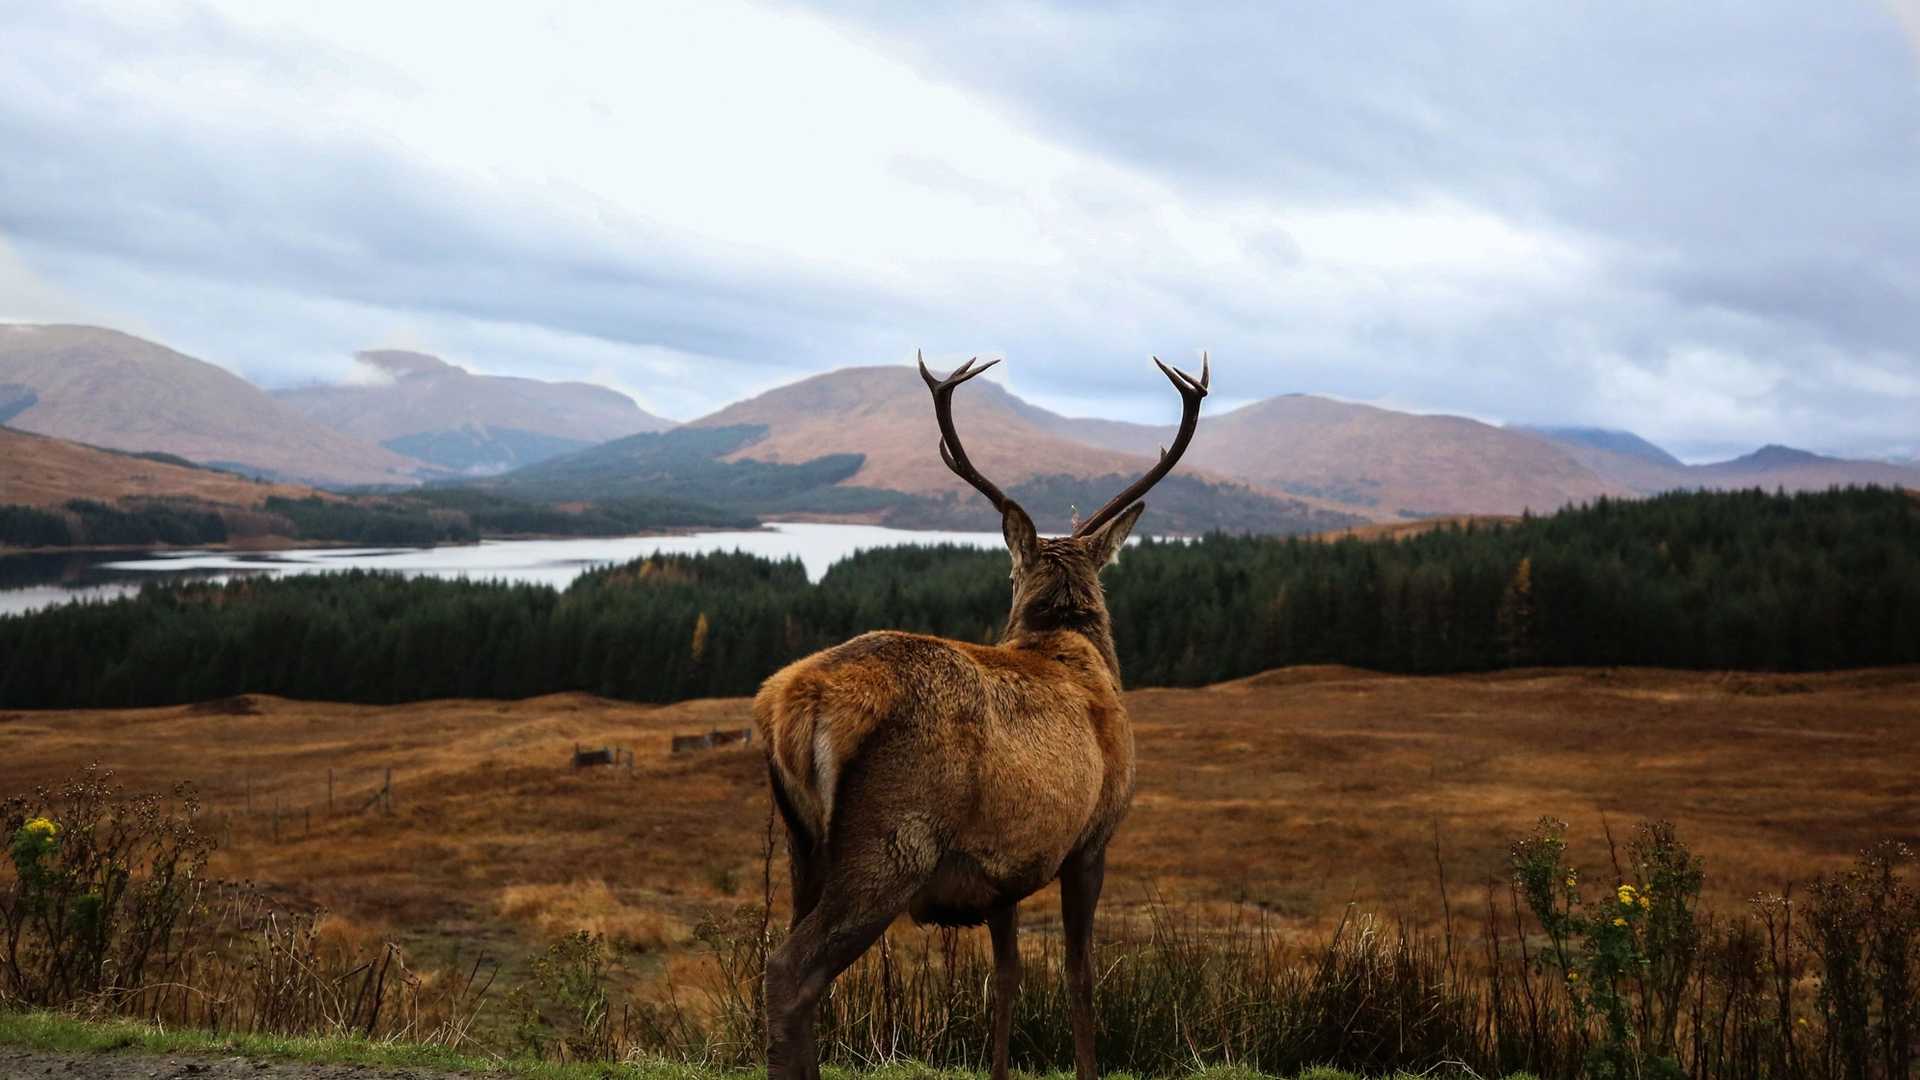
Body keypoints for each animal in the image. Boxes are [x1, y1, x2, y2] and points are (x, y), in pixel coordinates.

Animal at [752, 352, 1209, 1080]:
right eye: (1012, 578)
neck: (1077, 650)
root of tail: (797, 701)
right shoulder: (1093, 837)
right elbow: (1080, 975)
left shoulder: (1001, 872)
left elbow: (1007, 976)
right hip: (891, 840)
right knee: (790, 973)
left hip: (802, 844)